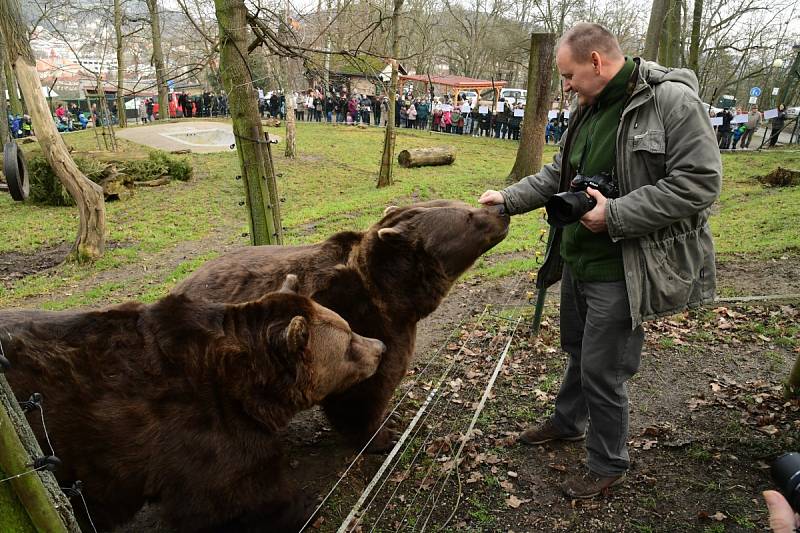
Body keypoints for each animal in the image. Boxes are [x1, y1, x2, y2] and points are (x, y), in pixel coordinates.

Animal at [0, 276, 388, 528]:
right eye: (349, 341)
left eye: (348, 325)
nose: (380, 347)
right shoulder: (196, 430)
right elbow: (236, 493)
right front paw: (297, 507)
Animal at [176, 200, 512, 448]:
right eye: (468, 216)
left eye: (469, 205)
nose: (501, 210)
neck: (396, 296)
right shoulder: (355, 319)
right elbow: (365, 388)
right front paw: (383, 435)